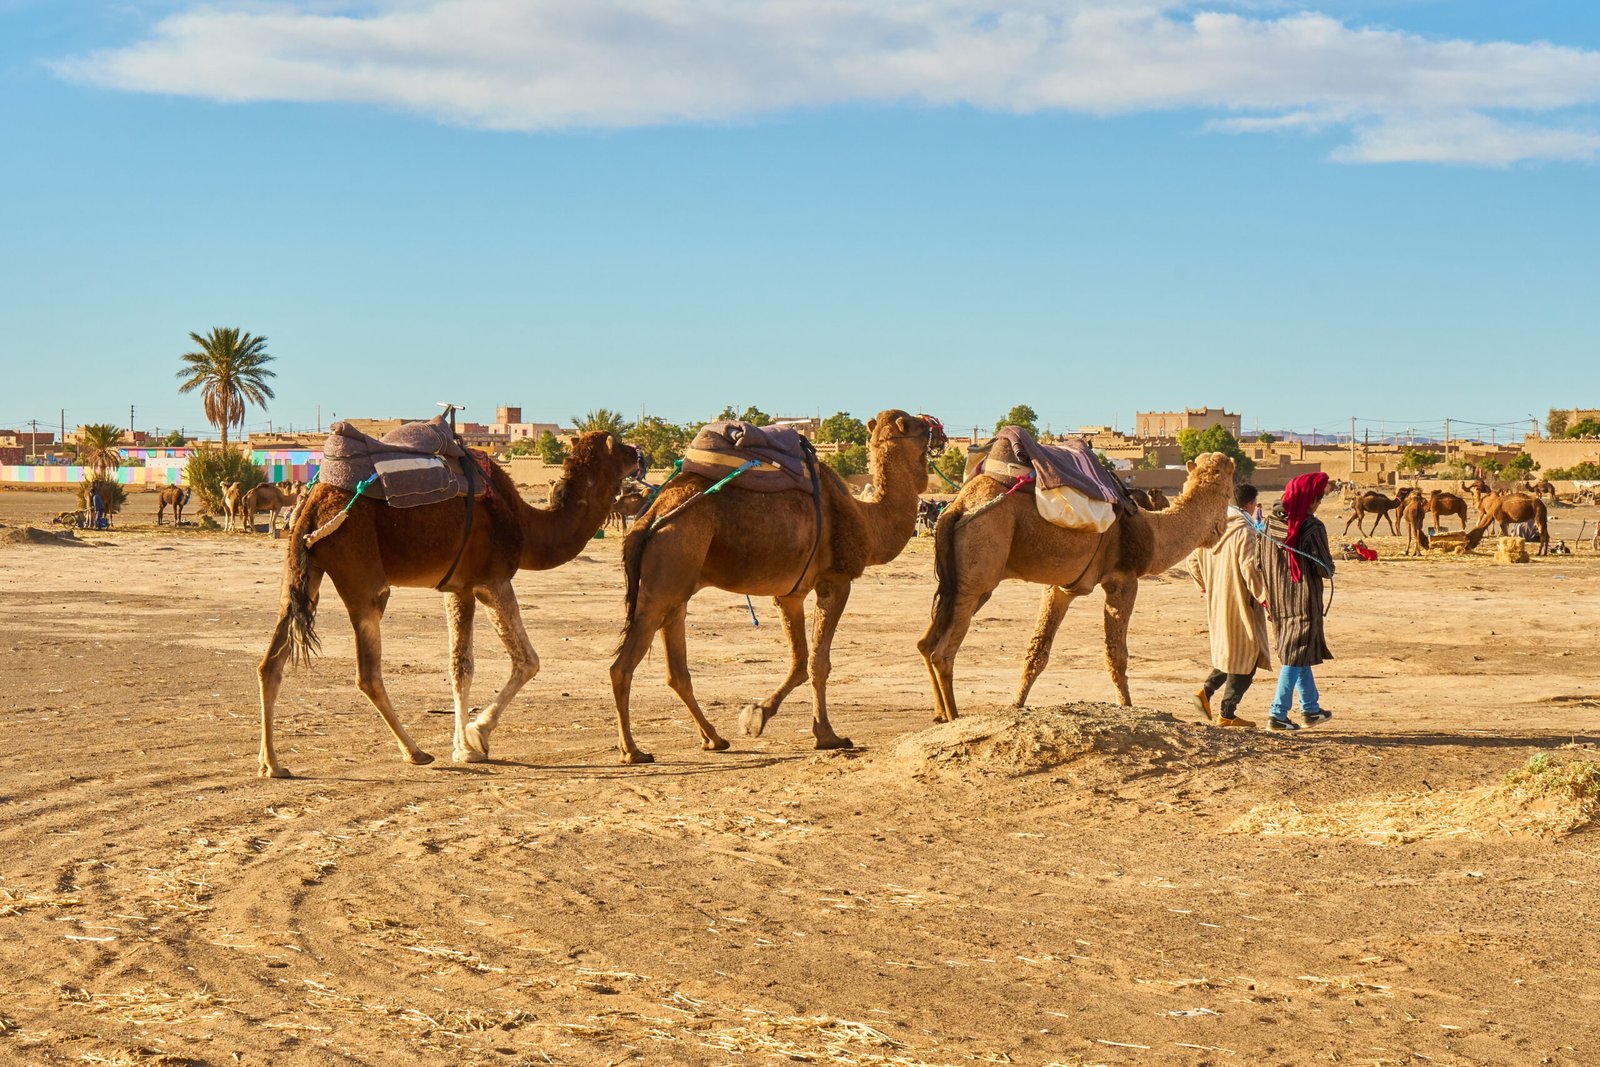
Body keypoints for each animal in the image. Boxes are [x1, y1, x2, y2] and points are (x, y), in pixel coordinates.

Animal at [255, 431, 640, 777]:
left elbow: (460, 667)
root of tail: (312, 506)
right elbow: (526, 661)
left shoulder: (458, 587)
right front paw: (477, 737)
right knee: (367, 673)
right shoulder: (491, 580)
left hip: (301, 575)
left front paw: (463, 746)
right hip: (361, 572)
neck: (526, 524)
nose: (638, 453)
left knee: (270, 663)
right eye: (619, 444)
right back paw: (415, 752)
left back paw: (272, 763)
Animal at [608, 410, 944, 764]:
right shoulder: (836, 581)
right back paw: (632, 750)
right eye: (919, 426)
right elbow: (818, 662)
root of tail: (648, 518)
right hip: (669, 567)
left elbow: (800, 662)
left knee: (676, 670)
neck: (867, 519)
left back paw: (714, 738)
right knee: (622, 666)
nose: (940, 433)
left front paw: (758, 715)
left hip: (676, 582)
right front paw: (828, 735)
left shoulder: (790, 594)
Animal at [918, 452, 1235, 721]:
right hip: (979, 562)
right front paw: (1127, 706)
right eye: (1228, 487)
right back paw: (954, 717)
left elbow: (1037, 650)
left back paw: (940, 714)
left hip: (963, 583)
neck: (1152, 532)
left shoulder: (1061, 588)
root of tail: (957, 506)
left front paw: (1016, 704)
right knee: (942, 653)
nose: (1222, 527)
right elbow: (1116, 653)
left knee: (926, 642)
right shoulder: (1123, 579)